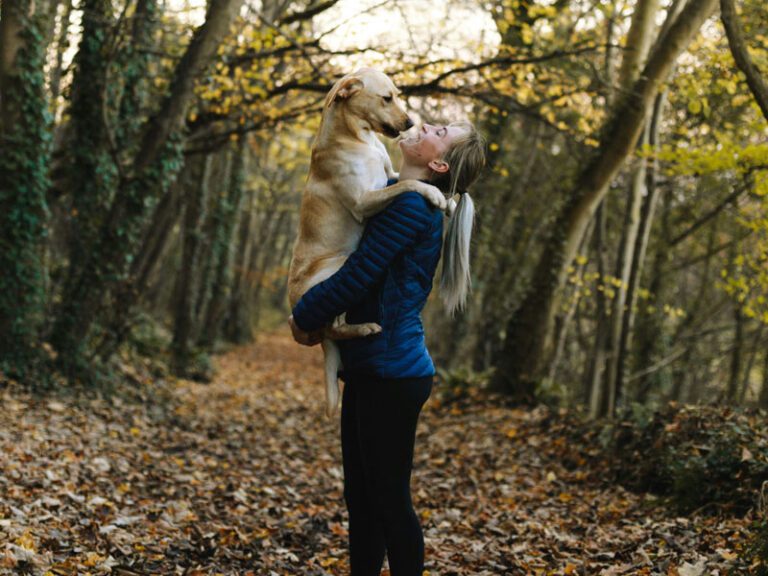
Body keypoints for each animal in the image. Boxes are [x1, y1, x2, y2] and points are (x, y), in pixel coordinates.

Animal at [286, 67, 444, 416]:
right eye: (386, 98)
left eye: (397, 95)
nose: (410, 123)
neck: (358, 137)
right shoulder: (363, 200)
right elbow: (410, 183)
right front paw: (436, 193)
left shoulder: (389, 173)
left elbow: (400, 179)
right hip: (340, 264)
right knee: (335, 325)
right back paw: (365, 328)